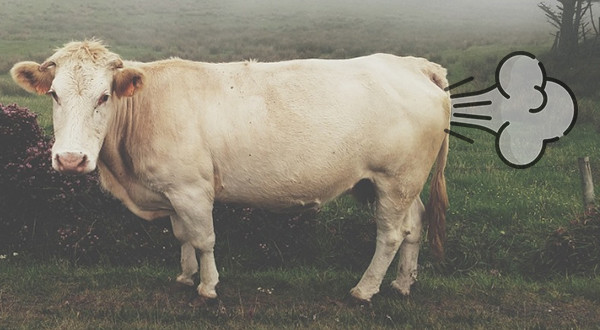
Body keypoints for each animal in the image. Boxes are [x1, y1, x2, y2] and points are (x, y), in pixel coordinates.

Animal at [10, 41, 450, 304]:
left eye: (104, 97)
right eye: (54, 94)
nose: (70, 159)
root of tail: (412, 64)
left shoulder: (191, 190)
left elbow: (204, 239)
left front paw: (207, 287)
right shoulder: (173, 191)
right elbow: (183, 235)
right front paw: (185, 277)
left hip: (395, 179)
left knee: (390, 235)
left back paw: (364, 289)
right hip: (397, 184)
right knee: (413, 225)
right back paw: (403, 283)